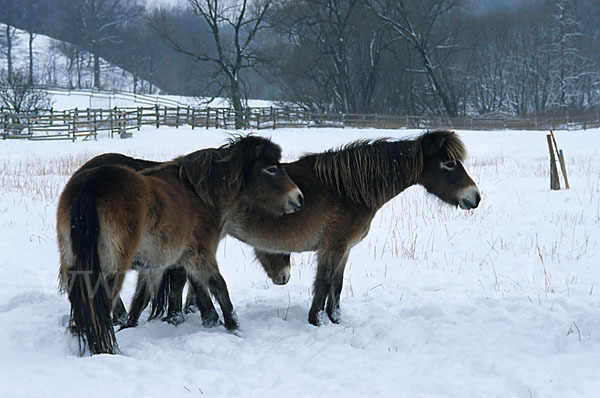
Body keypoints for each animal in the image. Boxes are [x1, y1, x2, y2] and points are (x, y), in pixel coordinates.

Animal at [56, 135, 304, 352]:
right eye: (271, 168)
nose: (299, 198)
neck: (202, 193)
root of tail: (88, 186)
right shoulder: (199, 253)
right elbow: (217, 286)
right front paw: (233, 327)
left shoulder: (158, 263)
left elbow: (143, 298)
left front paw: (137, 325)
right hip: (112, 267)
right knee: (99, 306)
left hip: (73, 263)